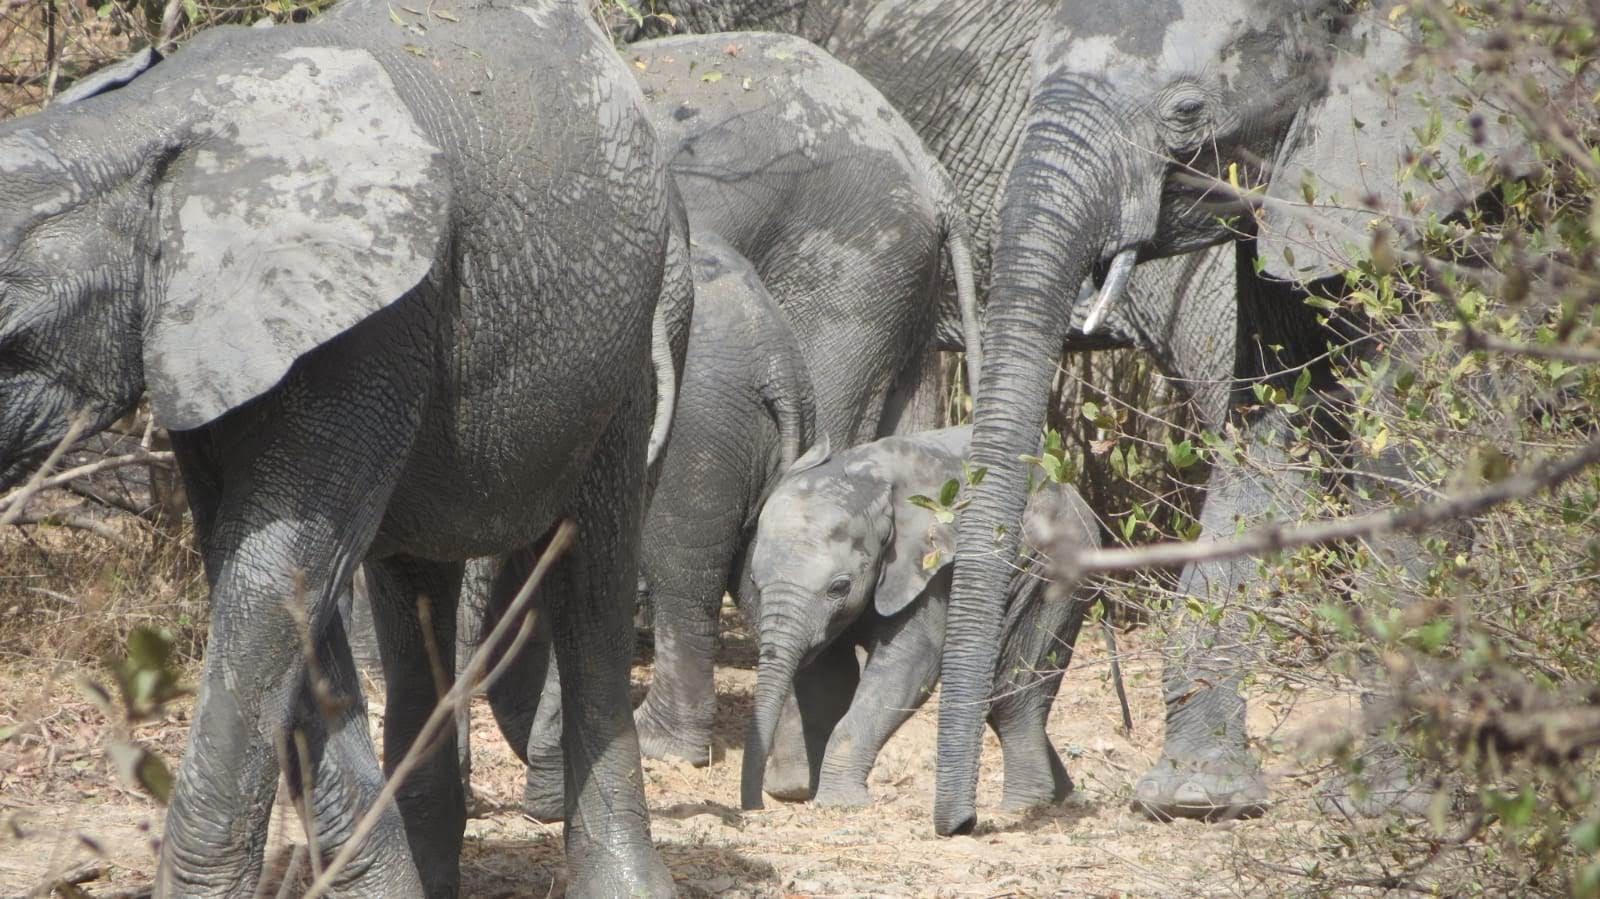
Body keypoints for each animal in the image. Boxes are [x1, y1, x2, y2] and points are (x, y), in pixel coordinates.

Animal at [0, 1, 690, 895]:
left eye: (9, 333)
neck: (139, 125)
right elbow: (280, 583)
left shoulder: (373, 320)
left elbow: (275, 572)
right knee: (414, 589)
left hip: (636, 339)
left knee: (593, 581)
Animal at [739, 425, 1102, 812]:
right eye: (754, 582)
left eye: (839, 587)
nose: (754, 806)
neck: (866, 475)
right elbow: (828, 674)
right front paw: (798, 790)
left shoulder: (933, 568)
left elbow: (909, 665)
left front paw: (840, 803)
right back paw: (1066, 798)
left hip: (1050, 570)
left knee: (1012, 693)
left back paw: (1021, 808)